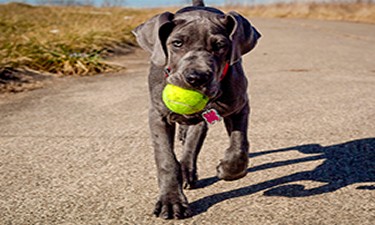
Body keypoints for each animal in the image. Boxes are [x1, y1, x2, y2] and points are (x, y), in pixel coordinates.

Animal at [133, 0, 262, 219]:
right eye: (177, 43)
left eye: (220, 46)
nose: (196, 78)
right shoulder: (158, 115)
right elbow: (166, 159)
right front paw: (171, 201)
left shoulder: (240, 106)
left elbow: (239, 146)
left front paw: (227, 169)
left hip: (203, 119)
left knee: (192, 143)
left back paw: (187, 169)